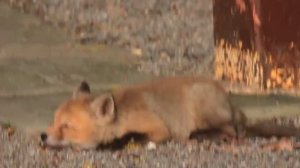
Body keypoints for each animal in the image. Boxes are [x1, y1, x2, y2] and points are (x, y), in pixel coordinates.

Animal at [39, 76, 300, 150]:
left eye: (66, 126)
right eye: (53, 122)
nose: (42, 135)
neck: (123, 117)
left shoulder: (157, 128)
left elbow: (131, 137)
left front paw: (112, 144)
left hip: (202, 106)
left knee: (234, 133)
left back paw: (199, 136)